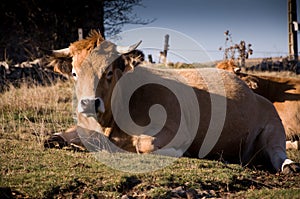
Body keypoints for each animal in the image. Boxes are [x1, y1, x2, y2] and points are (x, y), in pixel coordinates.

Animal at [44, 30, 300, 173]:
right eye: (74, 73)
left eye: (108, 72)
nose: (89, 103)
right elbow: (56, 138)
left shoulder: (175, 130)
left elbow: (146, 146)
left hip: (273, 128)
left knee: (278, 152)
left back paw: (288, 166)